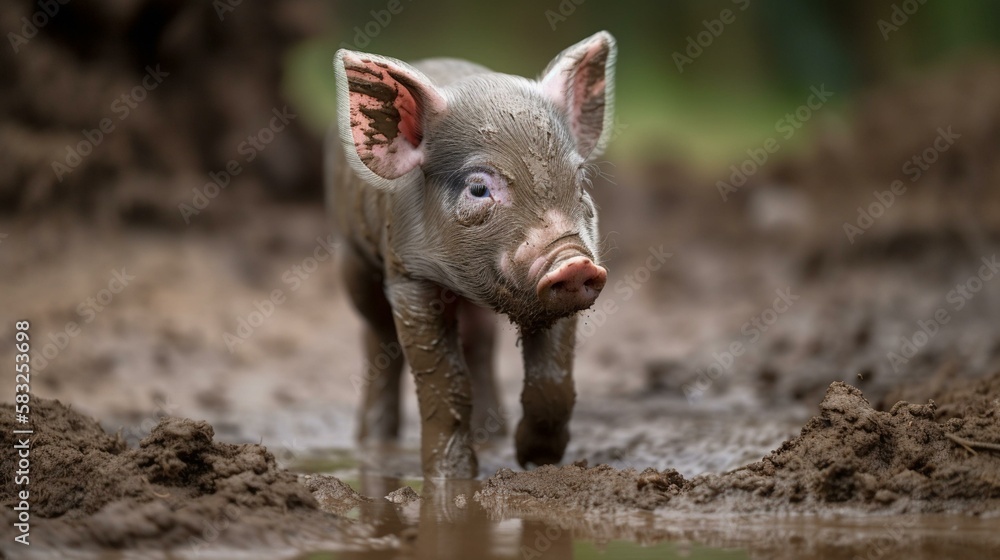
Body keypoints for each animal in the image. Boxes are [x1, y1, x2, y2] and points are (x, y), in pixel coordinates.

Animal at [326, 31, 616, 478]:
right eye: (478, 188)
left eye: (580, 180)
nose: (572, 262)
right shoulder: (408, 275)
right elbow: (445, 384)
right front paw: (453, 479)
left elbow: (551, 380)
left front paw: (536, 462)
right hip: (353, 257)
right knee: (378, 341)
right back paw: (373, 445)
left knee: (479, 346)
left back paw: (492, 436)